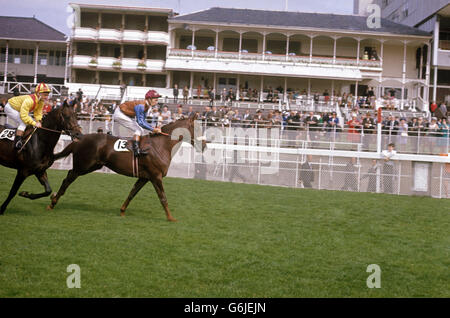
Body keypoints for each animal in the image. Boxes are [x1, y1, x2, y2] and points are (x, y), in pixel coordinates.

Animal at [47, 114, 206, 221]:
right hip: (83, 166)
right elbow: (163, 197)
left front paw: (122, 211)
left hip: (92, 166)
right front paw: (171, 217)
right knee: (67, 179)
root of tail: (79, 138)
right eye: (198, 128)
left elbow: (132, 193)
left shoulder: (144, 177)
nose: (205, 144)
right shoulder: (156, 176)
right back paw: (53, 202)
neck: (160, 145)